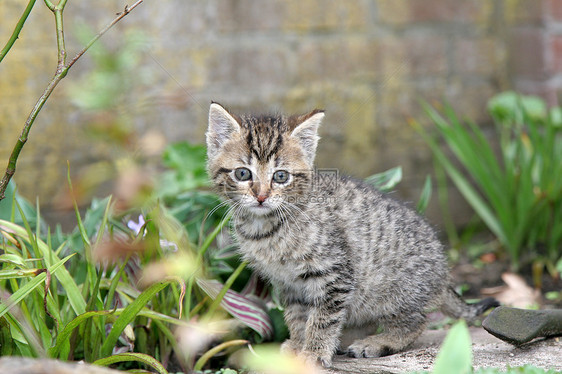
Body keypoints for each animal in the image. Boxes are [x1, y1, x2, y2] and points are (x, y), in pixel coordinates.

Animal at [205, 103, 494, 368]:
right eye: (243, 173)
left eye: (281, 176)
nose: (262, 196)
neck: (265, 227)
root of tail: (443, 276)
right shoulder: (288, 284)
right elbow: (297, 317)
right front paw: (298, 345)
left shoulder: (334, 273)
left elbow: (322, 318)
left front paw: (314, 353)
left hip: (392, 292)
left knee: (416, 321)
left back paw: (378, 342)